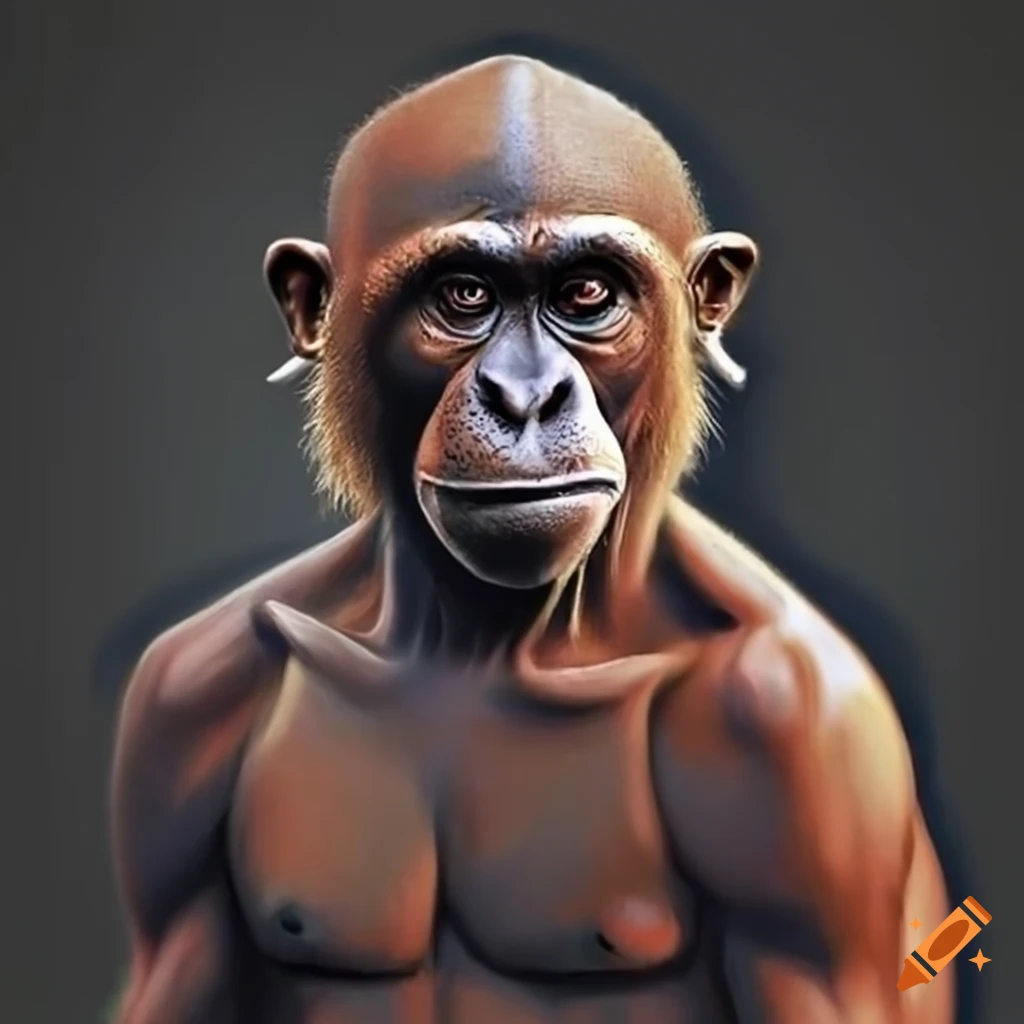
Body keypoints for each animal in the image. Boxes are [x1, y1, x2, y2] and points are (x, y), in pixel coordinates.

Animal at [109, 55, 953, 1024]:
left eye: (586, 293)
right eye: (464, 296)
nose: (524, 394)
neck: (490, 638)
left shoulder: (801, 734)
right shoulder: (178, 702)